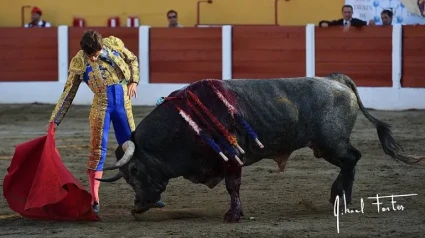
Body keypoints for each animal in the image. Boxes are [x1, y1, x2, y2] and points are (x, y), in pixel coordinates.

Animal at [95, 73, 420, 222]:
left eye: (135, 170)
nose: (137, 206)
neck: (184, 124)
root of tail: (335, 80)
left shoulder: (231, 159)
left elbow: (233, 186)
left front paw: (233, 215)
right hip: (325, 145)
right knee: (351, 161)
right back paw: (342, 199)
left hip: (332, 143)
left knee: (352, 158)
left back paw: (339, 195)